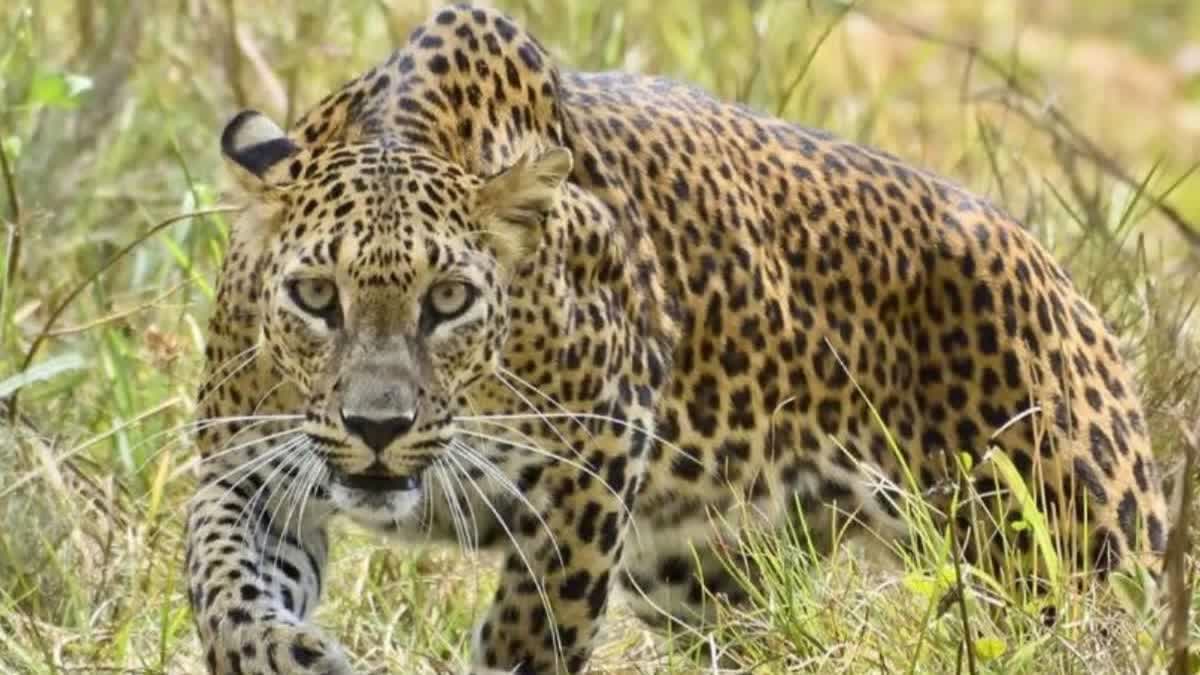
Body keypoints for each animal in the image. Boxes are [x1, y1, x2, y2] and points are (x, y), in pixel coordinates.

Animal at [182, 2, 1166, 667]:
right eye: (316, 295)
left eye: (449, 300)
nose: (377, 428)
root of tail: (1059, 275)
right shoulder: (248, 469)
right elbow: (222, 580)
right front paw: (283, 652)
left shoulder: (594, 463)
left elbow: (535, 629)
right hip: (710, 578)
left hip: (1073, 556)